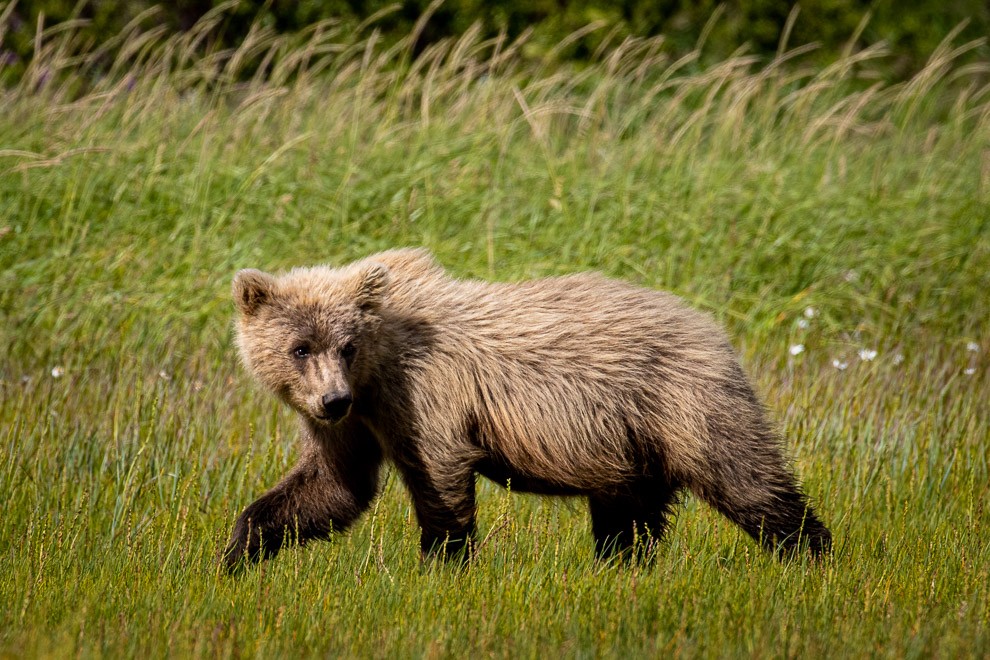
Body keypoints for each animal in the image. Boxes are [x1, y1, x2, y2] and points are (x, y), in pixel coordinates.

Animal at [221, 248, 832, 572]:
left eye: (345, 345)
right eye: (301, 348)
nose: (332, 400)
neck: (375, 376)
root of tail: (710, 325)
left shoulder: (424, 396)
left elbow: (438, 478)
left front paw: (441, 563)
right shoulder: (360, 422)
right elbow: (334, 486)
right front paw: (237, 553)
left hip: (680, 400)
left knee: (743, 477)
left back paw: (812, 553)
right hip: (629, 442)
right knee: (629, 511)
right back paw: (620, 565)